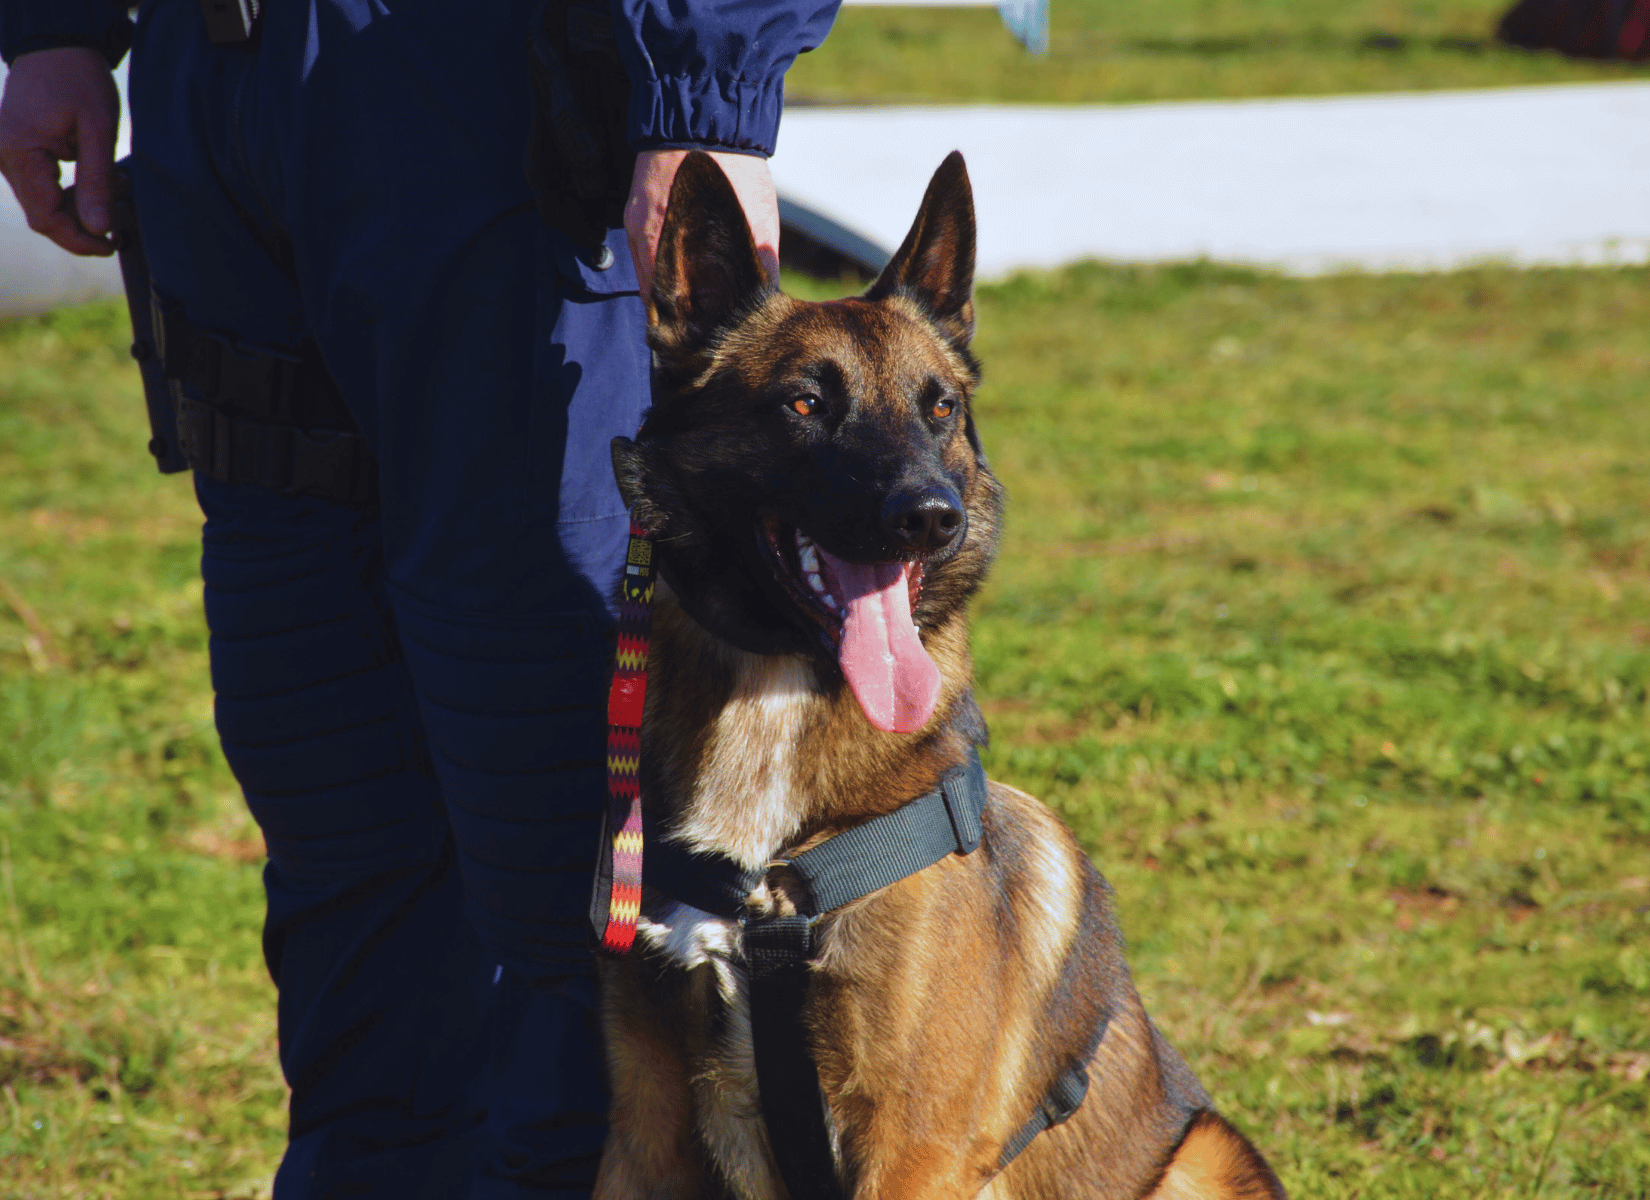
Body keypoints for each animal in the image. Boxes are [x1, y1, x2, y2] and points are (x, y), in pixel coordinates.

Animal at [594, 152, 1287, 1200]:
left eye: (941, 408)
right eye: (804, 402)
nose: (931, 516)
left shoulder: (911, 1146)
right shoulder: (644, 1136)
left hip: (1202, 1159)